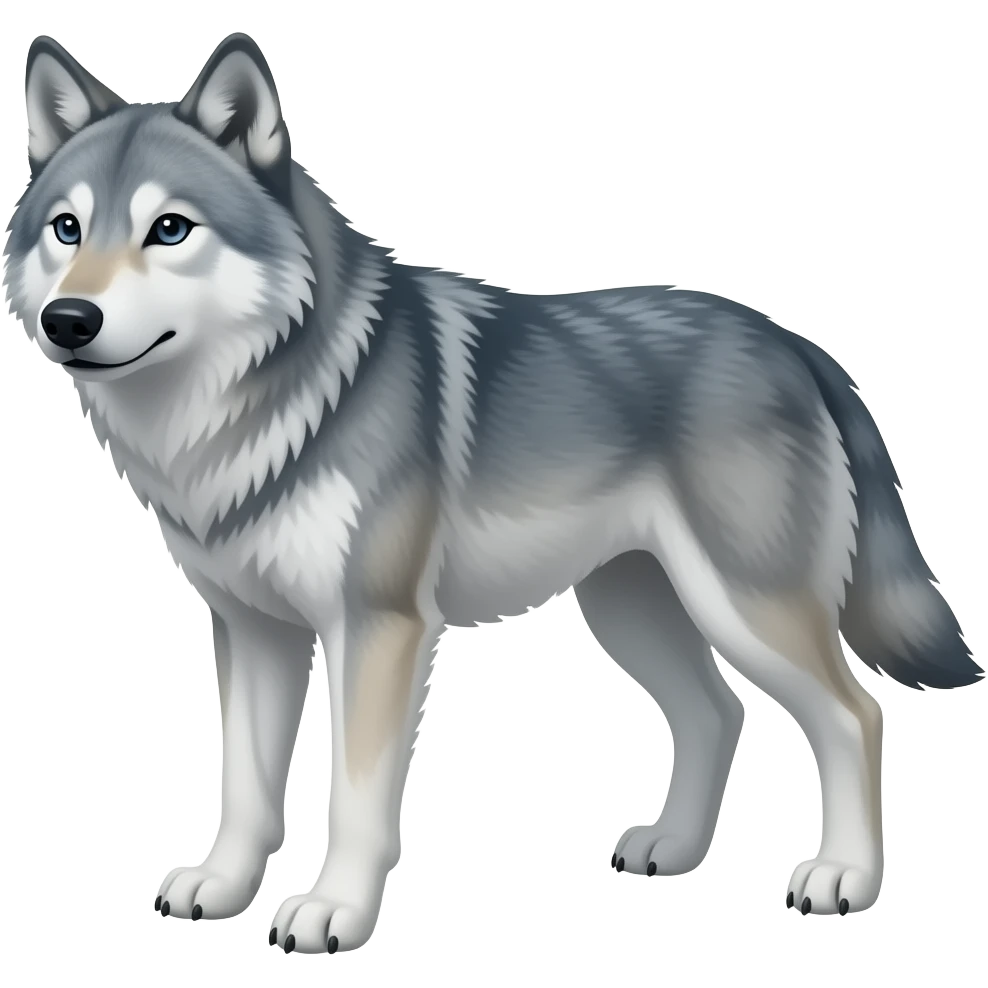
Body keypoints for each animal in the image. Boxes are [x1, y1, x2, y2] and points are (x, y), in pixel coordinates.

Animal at [3, 30, 981, 952]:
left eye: (170, 229)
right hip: (632, 608)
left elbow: (354, 798)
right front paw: (222, 887)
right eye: (66, 229)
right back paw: (672, 848)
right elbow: (243, 785)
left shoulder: (378, 627)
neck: (243, 412)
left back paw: (842, 877)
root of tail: (797, 345)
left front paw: (331, 913)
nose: (69, 320)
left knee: (855, 716)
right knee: (718, 712)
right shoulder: (252, 629)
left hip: (745, 607)